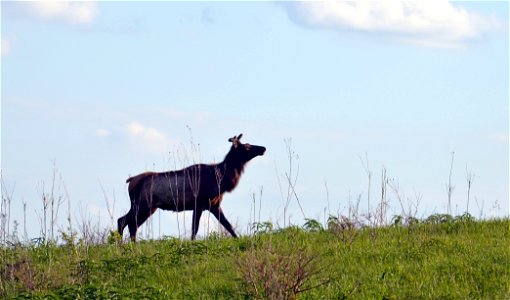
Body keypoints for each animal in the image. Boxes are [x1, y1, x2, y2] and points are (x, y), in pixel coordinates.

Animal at [117, 134, 264, 241]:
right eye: (247, 146)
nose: (263, 148)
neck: (220, 179)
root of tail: (130, 181)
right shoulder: (199, 203)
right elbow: (195, 228)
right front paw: (192, 243)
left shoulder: (214, 205)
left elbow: (229, 226)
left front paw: (238, 240)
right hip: (143, 204)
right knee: (125, 221)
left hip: (146, 207)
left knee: (128, 223)